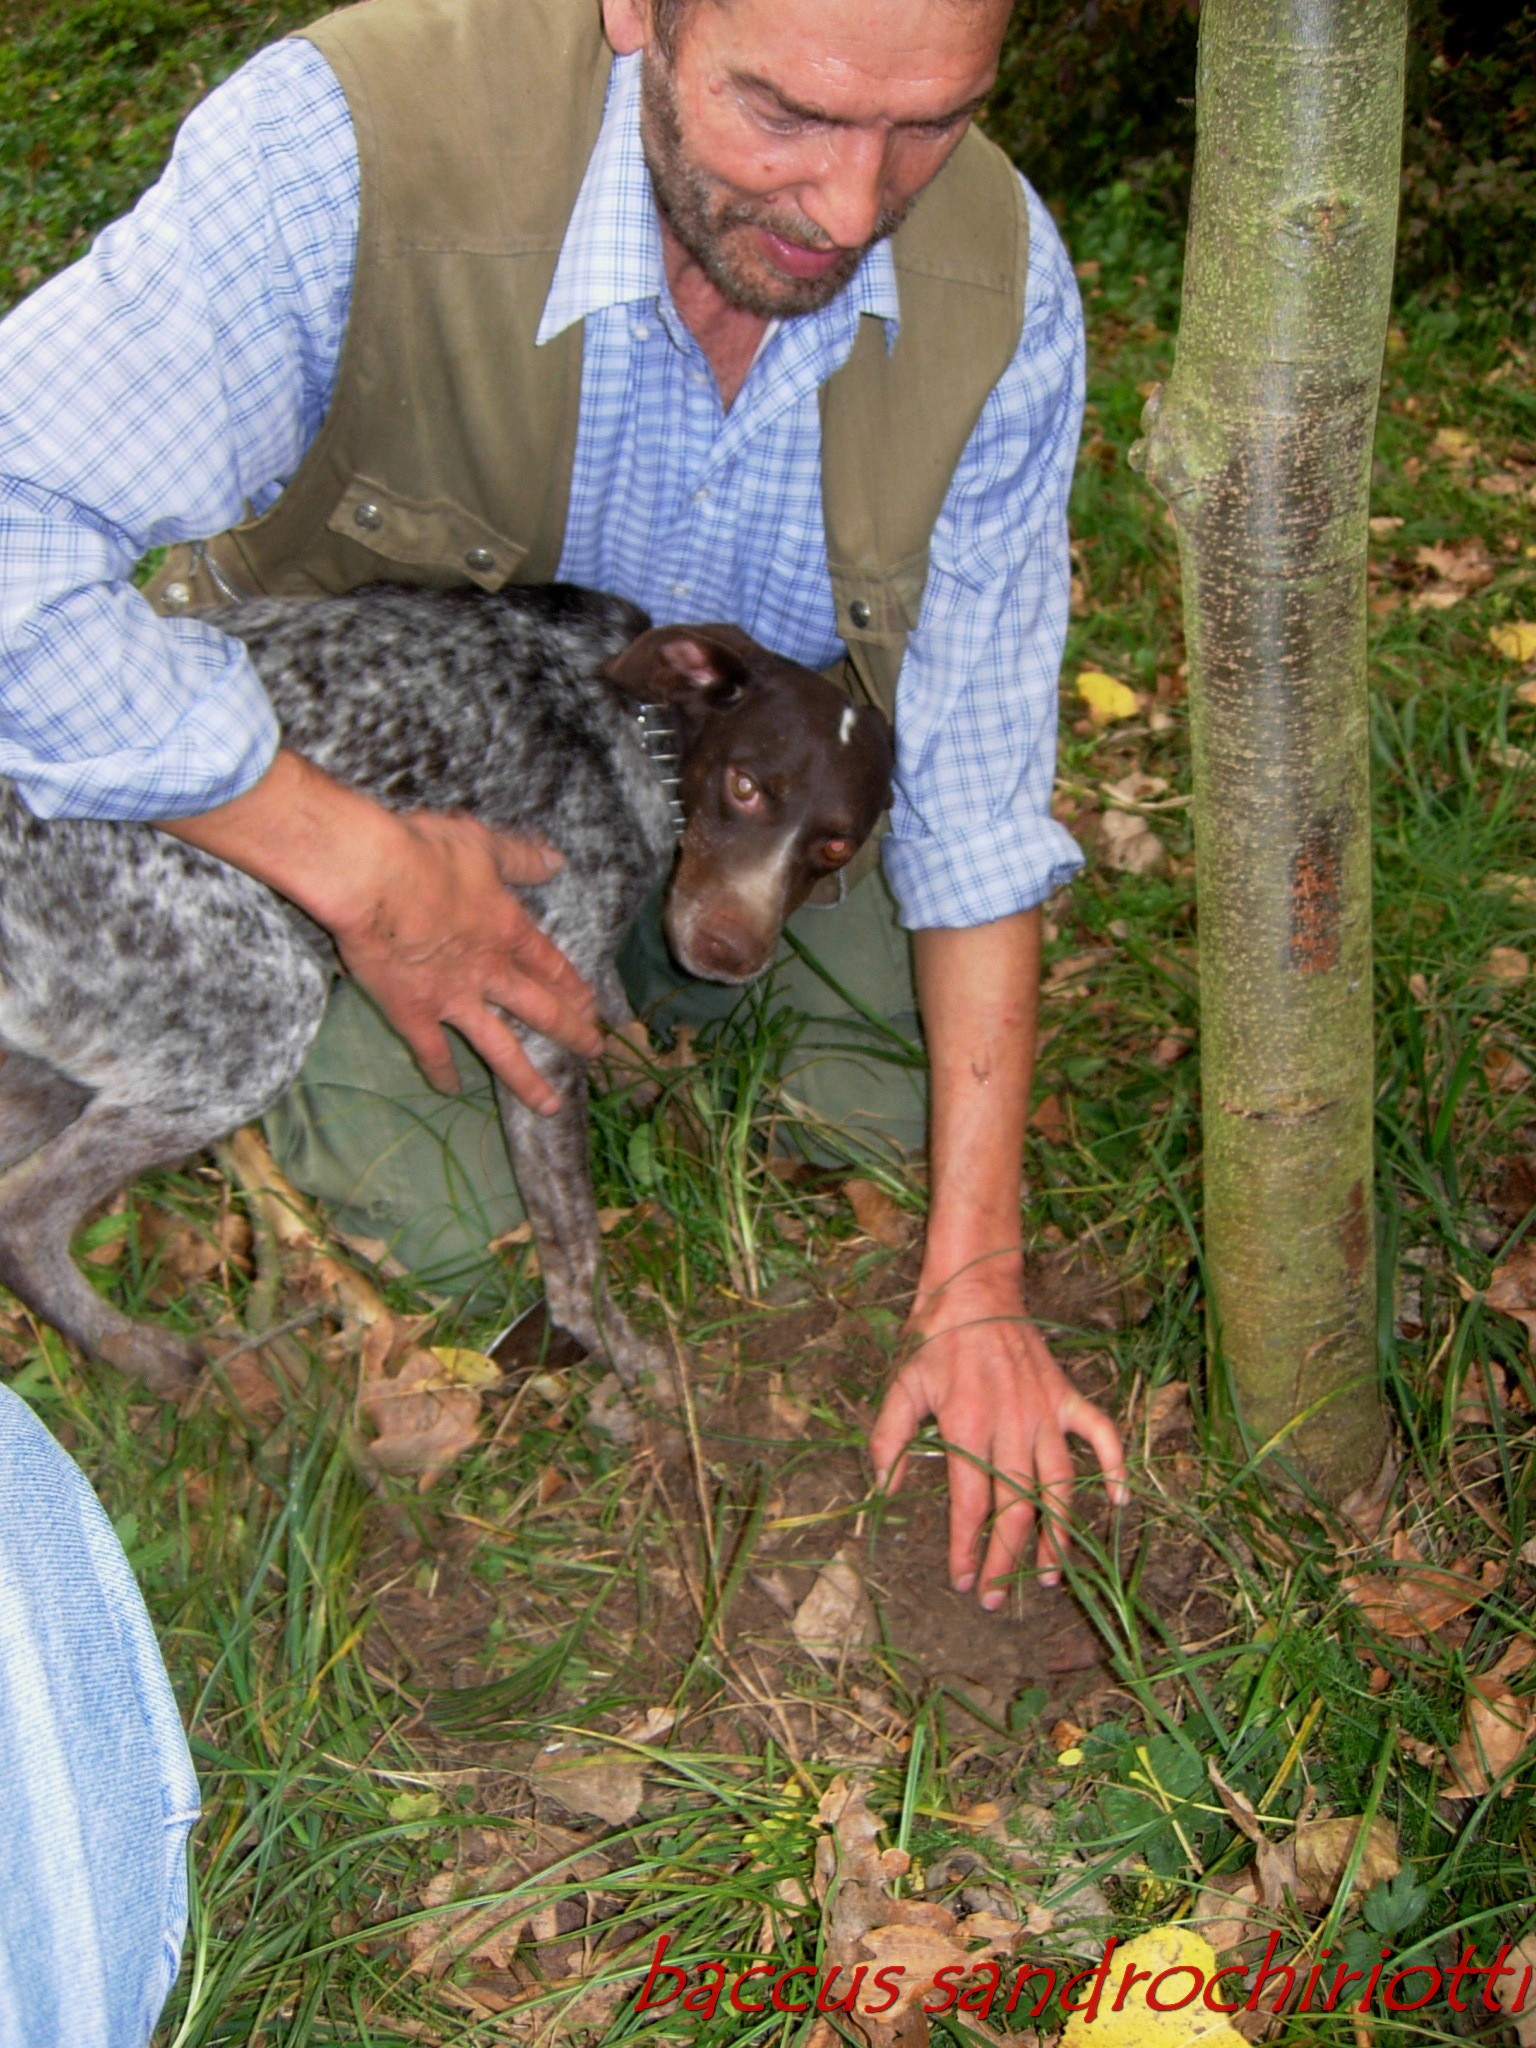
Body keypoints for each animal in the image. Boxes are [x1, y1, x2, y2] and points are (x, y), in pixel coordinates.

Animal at [0, 583, 894, 1398]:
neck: (632, 730)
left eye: (835, 844)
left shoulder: (579, 976)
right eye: (746, 786)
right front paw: (624, 1354)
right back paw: (145, 1354)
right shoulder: (533, 1033)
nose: (730, 952)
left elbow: (636, 1052)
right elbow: (576, 1256)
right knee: (24, 1220)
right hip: (258, 1019)